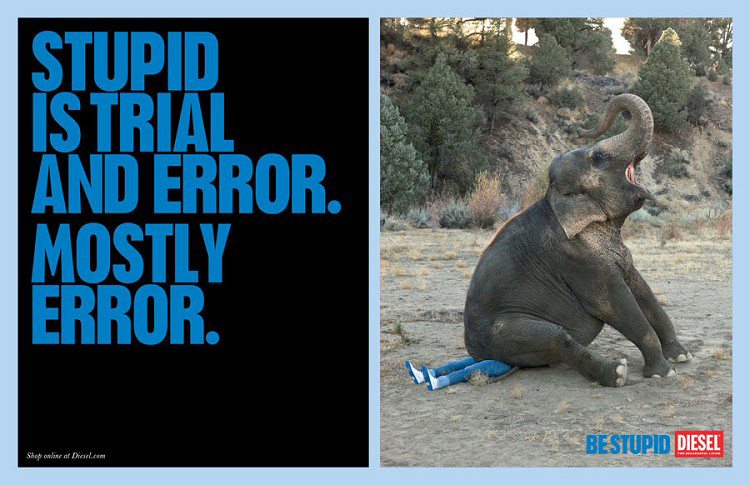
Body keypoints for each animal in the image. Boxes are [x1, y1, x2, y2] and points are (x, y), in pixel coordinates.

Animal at [463, 94, 691, 387]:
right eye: (598, 158)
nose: (582, 130)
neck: (554, 196)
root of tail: (479, 357)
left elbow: (644, 291)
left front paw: (681, 357)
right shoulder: (577, 260)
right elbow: (615, 304)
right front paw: (663, 373)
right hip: (504, 332)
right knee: (555, 337)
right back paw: (617, 373)